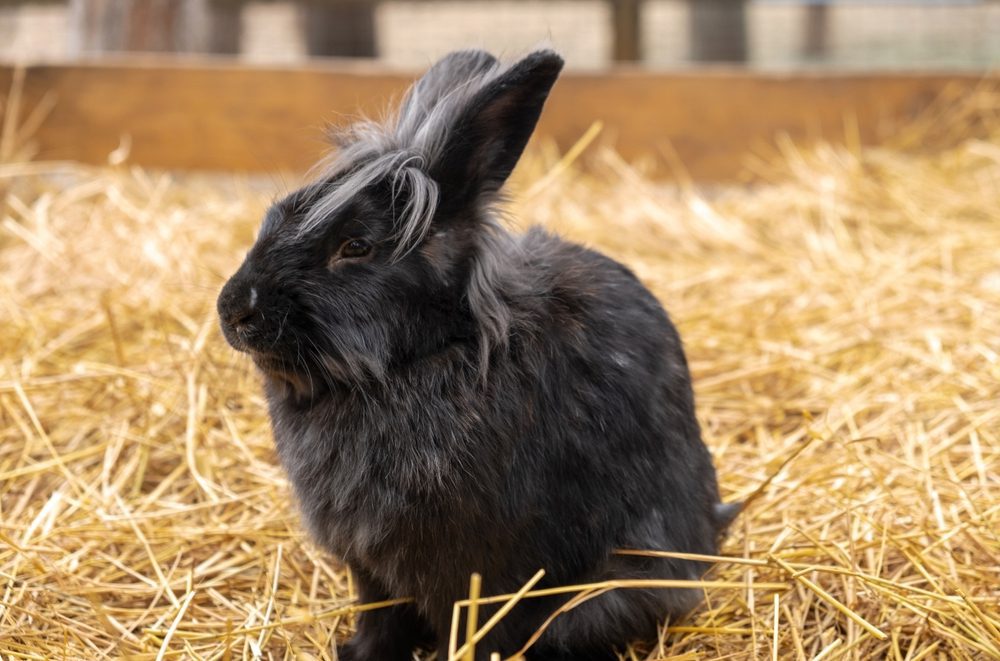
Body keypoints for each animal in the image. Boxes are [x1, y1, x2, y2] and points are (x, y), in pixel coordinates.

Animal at [217, 49, 739, 661]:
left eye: (356, 246)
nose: (234, 309)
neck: (429, 355)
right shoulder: (369, 567)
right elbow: (379, 616)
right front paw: (359, 654)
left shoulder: (469, 575)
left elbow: (461, 628)